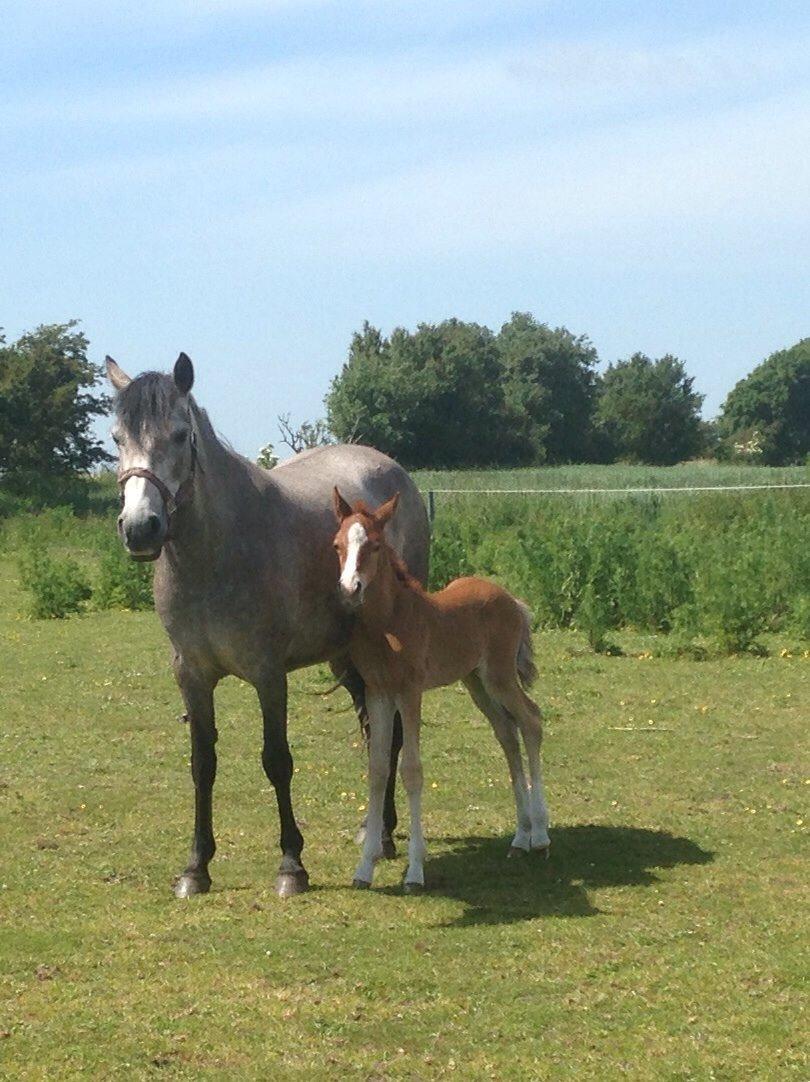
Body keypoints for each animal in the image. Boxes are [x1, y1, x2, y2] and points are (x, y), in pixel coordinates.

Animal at [107, 352, 430, 895]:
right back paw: (375, 831)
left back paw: (384, 837)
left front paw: (291, 865)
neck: (215, 555)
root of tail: (394, 473)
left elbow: (277, 760)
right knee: (374, 733)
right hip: (348, 658)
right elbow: (202, 764)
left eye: (180, 434)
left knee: (393, 736)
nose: (140, 529)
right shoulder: (190, 675)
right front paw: (196, 867)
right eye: (116, 438)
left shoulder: (268, 673)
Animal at [330, 486, 549, 891]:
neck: (389, 623)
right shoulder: (378, 693)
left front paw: (415, 871)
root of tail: (512, 600)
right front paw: (364, 868)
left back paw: (540, 836)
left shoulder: (410, 691)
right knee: (507, 732)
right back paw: (520, 837)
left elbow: (411, 769)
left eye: (375, 545)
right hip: (476, 682)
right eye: (337, 544)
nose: (350, 589)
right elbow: (378, 769)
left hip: (499, 676)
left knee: (531, 720)